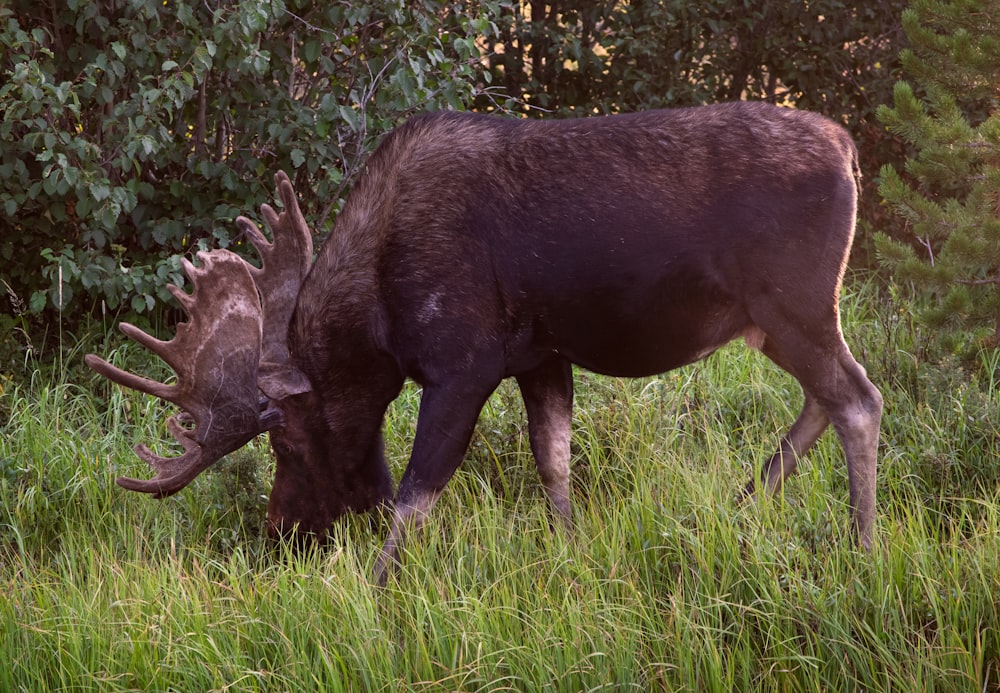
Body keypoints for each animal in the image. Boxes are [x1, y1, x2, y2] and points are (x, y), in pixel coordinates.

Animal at [86, 101, 884, 580]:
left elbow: (416, 493)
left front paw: (376, 588)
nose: (280, 531)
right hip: (775, 320)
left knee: (859, 398)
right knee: (824, 397)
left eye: (284, 441)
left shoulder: (462, 364)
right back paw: (745, 502)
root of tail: (850, 149)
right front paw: (570, 552)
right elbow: (553, 461)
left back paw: (860, 546)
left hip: (794, 302)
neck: (376, 321)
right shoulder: (540, 355)